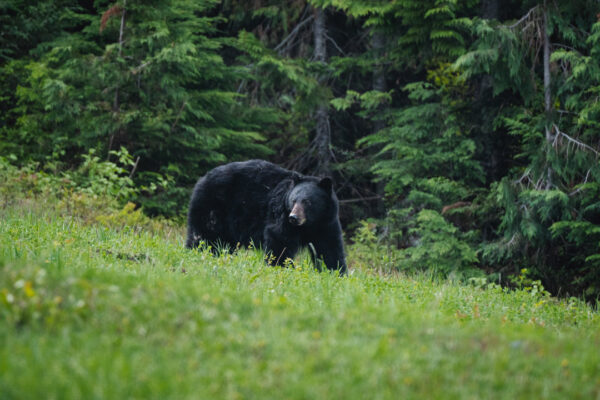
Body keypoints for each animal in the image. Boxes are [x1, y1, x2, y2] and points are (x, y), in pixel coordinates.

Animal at [186, 158, 346, 274]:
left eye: (307, 202)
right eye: (293, 200)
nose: (294, 217)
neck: (309, 224)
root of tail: (202, 179)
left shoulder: (326, 223)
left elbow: (329, 248)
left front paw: (335, 272)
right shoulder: (281, 214)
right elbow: (279, 239)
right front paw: (280, 266)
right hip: (212, 207)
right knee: (204, 237)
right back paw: (195, 254)